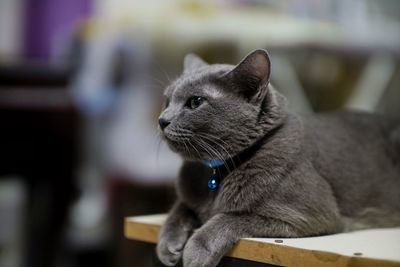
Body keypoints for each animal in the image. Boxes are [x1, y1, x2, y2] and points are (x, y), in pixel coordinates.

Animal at [155, 49, 400, 266]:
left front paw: (197, 251)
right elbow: (178, 209)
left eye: (195, 102)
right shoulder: (189, 199)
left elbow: (232, 216)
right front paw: (166, 245)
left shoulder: (308, 215)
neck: (216, 173)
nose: (162, 120)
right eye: (166, 101)